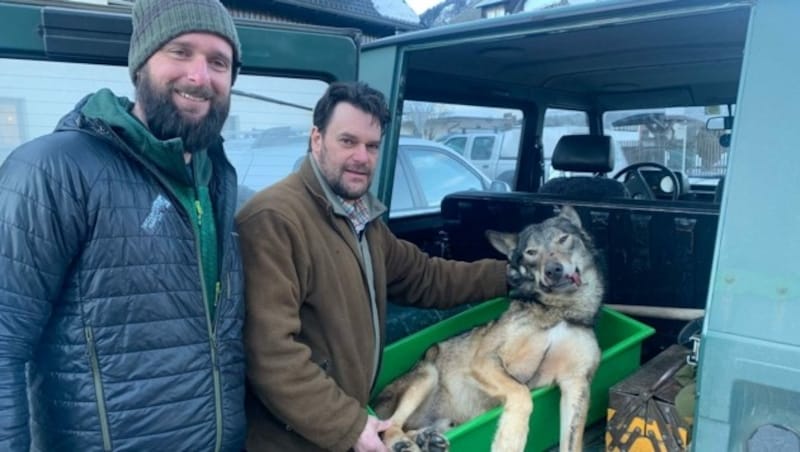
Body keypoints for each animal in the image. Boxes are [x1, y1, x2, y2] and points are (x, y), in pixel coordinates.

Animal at [374, 206, 600, 452]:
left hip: (446, 421)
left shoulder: (576, 382)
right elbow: (522, 393)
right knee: (387, 428)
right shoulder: (484, 361)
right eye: (531, 252)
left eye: (563, 238)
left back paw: (426, 440)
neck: (559, 309)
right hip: (427, 374)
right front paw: (510, 439)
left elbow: (572, 443)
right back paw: (403, 443)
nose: (553, 270)